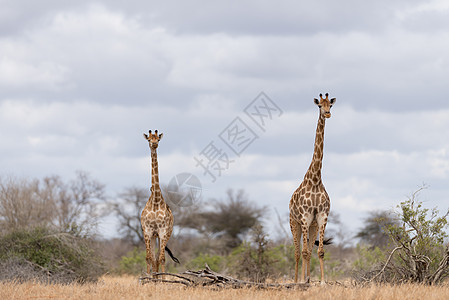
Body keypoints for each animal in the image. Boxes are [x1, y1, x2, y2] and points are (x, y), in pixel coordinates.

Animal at [141, 130, 178, 278]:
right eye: (149, 139)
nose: (154, 144)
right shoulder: (147, 231)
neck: (156, 200)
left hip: (165, 234)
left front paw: (163, 280)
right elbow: (148, 258)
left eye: (158, 139)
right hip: (153, 236)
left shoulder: (162, 231)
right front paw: (147, 279)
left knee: (158, 258)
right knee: (153, 258)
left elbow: (161, 258)